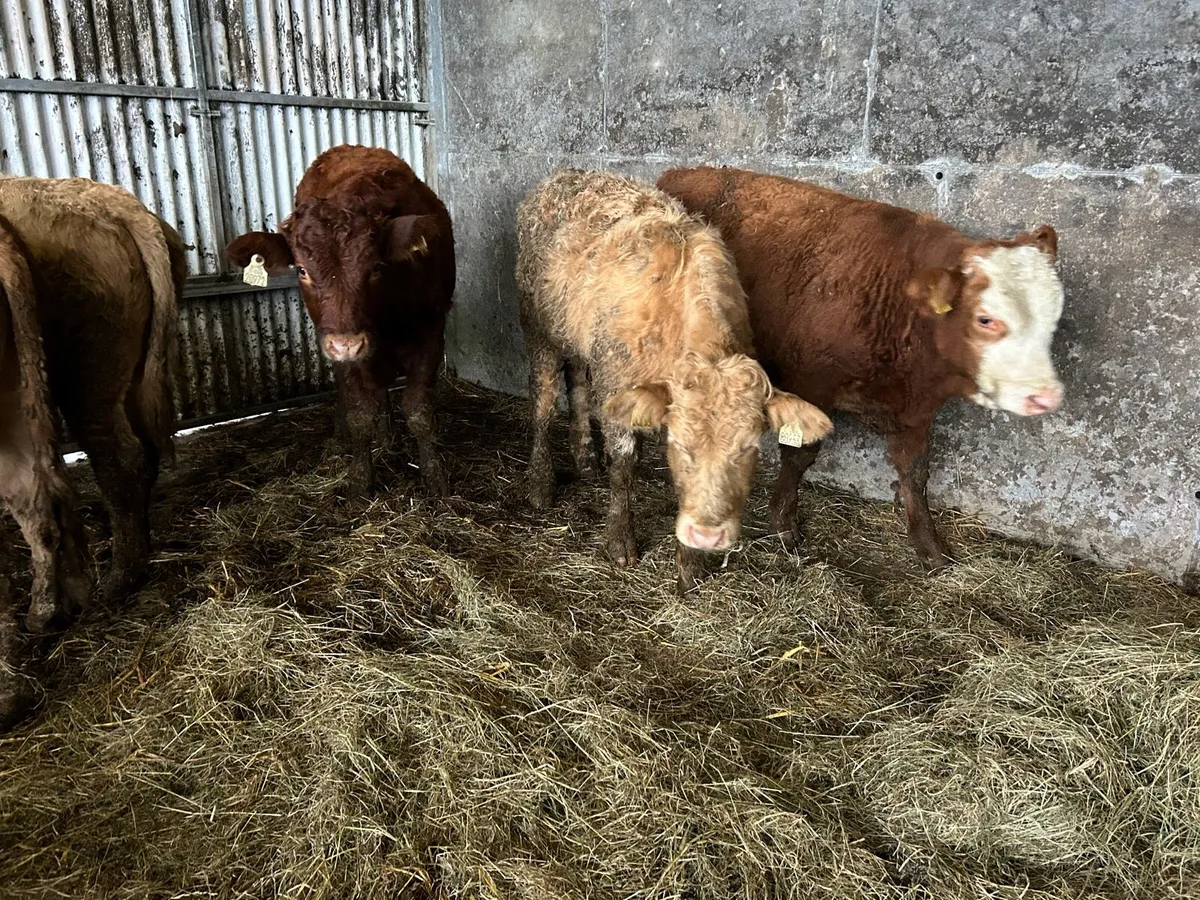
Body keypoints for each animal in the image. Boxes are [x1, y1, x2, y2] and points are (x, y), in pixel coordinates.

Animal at [226, 145, 455, 497]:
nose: (347, 344)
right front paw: (360, 481)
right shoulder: (343, 355)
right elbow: (359, 414)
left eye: (377, 266)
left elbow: (419, 413)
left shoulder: (431, 334)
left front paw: (435, 478)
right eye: (302, 270)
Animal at [516, 169, 832, 592]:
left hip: (582, 342)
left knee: (579, 385)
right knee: (543, 401)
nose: (708, 536)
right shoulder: (618, 388)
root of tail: (567, 174)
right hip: (538, 329)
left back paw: (584, 459)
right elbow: (624, 465)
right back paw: (540, 485)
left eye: (748, 448)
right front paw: (620, 541)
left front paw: (690, 564)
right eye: (680, 445)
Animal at [658, 166, 1065, 569]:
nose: (1046, 396)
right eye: (985, 319)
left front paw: (929, 545)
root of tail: (682, 172)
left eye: (1055, 315)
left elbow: (915, 472)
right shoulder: (811, 386)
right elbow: (799, 455)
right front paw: (783, 525)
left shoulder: (915, 411)